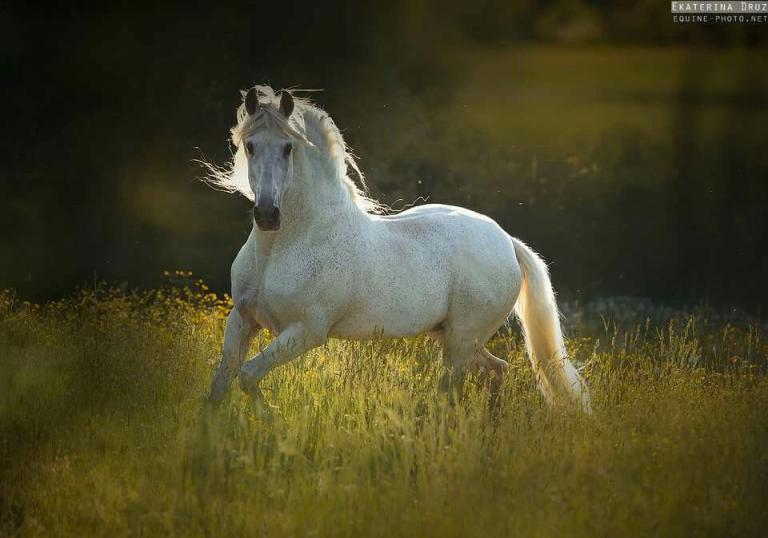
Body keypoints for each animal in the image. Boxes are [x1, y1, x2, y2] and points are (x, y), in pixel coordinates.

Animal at [205, 85, 591, 413]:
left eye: (288, 148)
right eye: (250, 145)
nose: (267, 214)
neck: (283, 247)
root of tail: (507, 241)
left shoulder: (306, 332)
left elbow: (247, 376)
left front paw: (268, 418)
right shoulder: (242, 319)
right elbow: (221, 383)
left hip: (462, 341)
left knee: (452, 393)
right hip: (452, 335)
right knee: (497, 370)